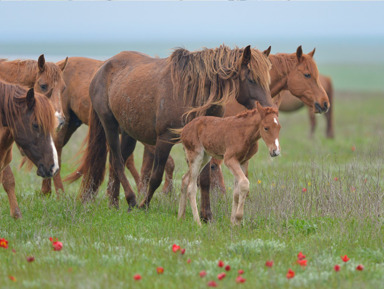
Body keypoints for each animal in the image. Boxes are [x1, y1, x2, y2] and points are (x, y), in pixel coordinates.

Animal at [68, 45, 272, 212]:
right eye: (251, 79)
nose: (269, 109)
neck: (192, 93)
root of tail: (102, 68)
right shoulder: (164, 140)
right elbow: (156, 176)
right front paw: (144, 205)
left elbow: (204, 179)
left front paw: (207, 215)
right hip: (109, 124)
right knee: (117, 161)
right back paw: (132, 200)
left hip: (128, 132)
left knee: (116, 162)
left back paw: (114, 203)